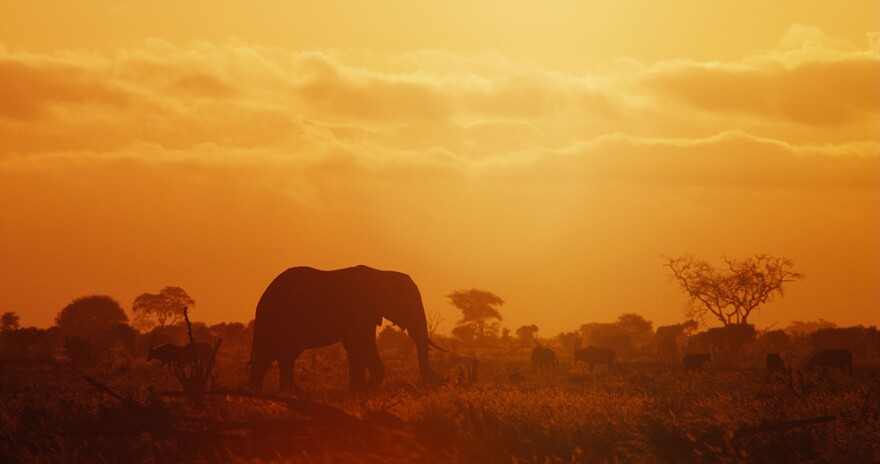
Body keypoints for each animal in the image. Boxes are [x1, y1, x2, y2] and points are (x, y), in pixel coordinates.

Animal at [247, 265, 446, 392]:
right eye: (408, 303)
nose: (441, 380)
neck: (381, 273)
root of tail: (260, 301)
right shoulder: (359, 310)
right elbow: (360, 344)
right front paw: (365, 387)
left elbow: (356, 346)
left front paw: (358, 388)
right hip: (278, 319)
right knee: (270, 353)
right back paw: (257, 392)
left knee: (286, 355)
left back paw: (288, 390)